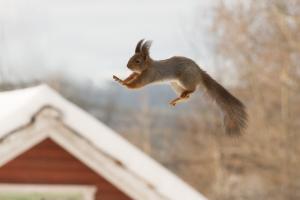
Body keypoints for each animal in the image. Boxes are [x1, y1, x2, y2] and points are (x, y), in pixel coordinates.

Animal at [113, 39, 247, 135]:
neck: (148, 66)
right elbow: (131, 77)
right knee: (187, 97)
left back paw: (183, 95)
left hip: (185, 80)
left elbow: (136, 84)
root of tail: (199, 73)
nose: (127, 66)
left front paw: (125, 84)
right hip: (175, 85)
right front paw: (121, 79)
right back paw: (177, 99)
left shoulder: (148, 75)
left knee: (193, 89)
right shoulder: (137, 74)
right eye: (131, 58)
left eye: (137, 61)